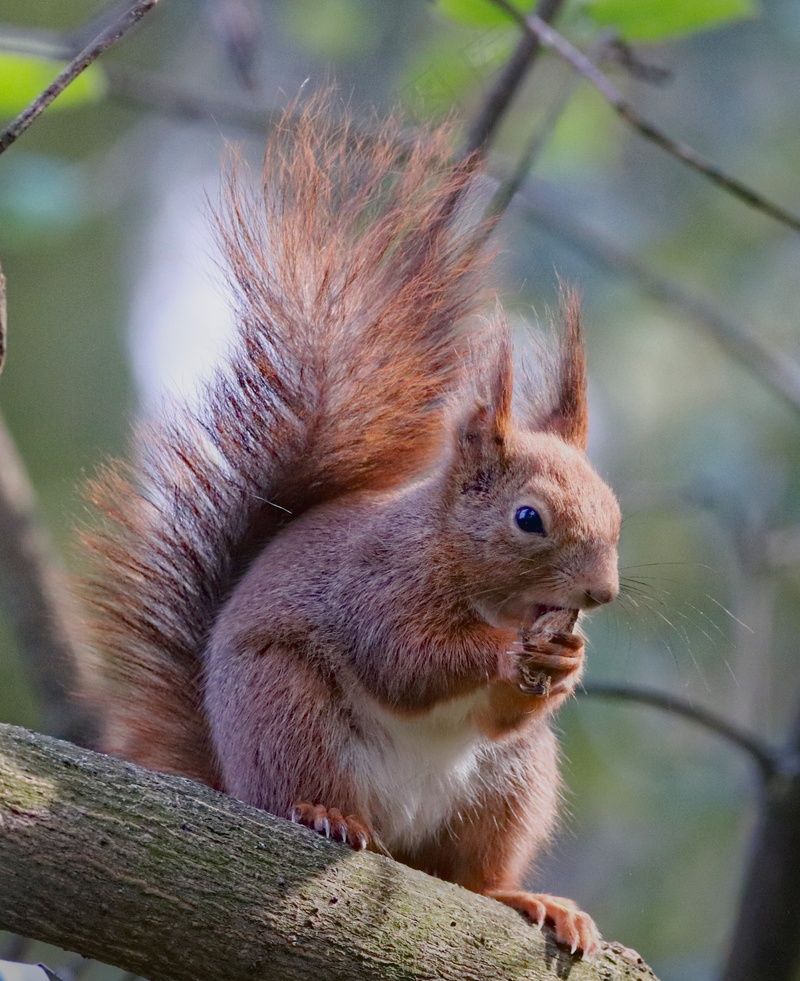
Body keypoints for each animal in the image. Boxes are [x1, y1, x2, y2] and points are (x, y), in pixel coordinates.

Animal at [78, 97, 620, 956]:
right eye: (528, 518)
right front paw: (505, 652)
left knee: (470, 873)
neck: (454, 557)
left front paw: (566, 662)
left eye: (613, 510)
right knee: (307, 788)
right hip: (286, 710)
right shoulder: (377, 585)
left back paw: (526, 898)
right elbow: (403, 660)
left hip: (513, 784)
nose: (601, 592)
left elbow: (501, 710)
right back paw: (328, 813)